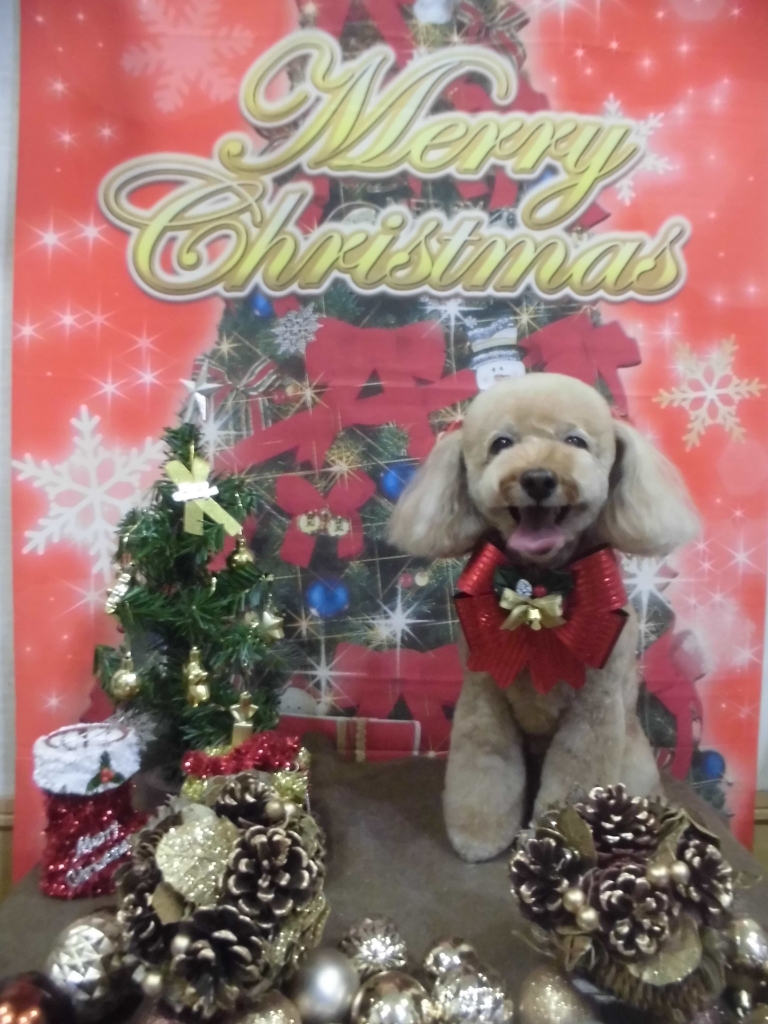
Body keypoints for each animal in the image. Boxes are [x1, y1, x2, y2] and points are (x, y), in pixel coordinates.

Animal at [388, 373, 699, 862]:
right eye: (501, 444)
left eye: (575, 441)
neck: (538, 587)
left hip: (632, 750)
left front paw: (560, 837)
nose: (537, 477)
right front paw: (479, 836)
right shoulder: (484, 696)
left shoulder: (593, 712)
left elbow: (573, 780)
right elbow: (484, 768)